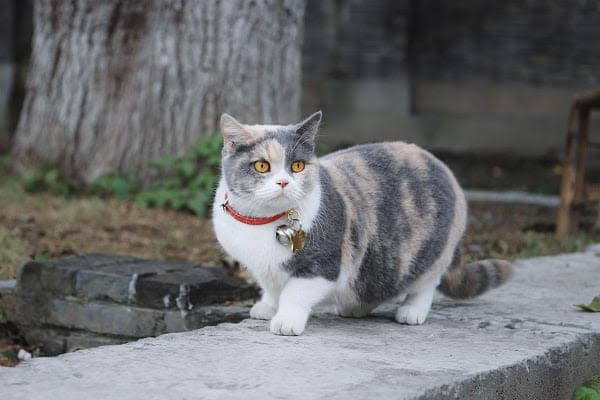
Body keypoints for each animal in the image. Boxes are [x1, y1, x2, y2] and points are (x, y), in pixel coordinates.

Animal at [211, 111, 510, 336]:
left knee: (427, 282)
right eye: (262, 166)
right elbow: (272, 287)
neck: (262, 222)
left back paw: (411, 311)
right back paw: (355, 307)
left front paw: (286, 320)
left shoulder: (323, 264)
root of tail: (441, 165)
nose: (283, 182)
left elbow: (295, 293)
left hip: (431, 252)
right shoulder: (261, 268)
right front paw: (267, 307)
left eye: (297, 166)